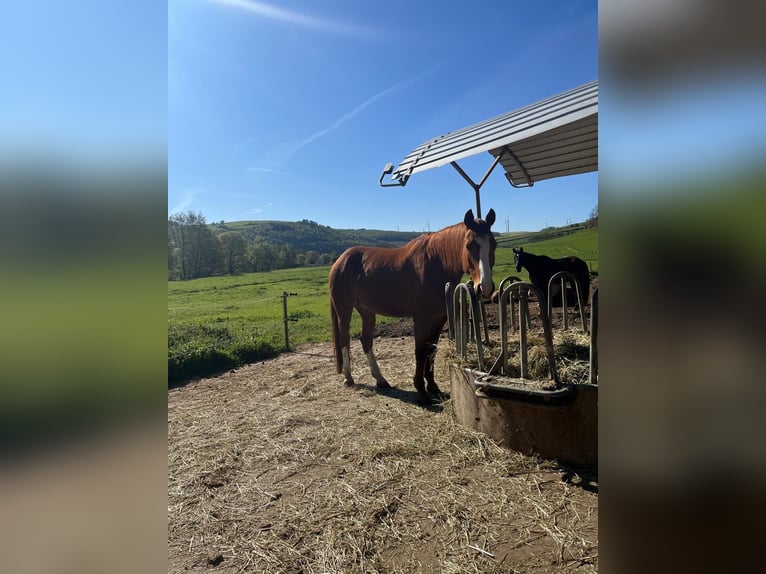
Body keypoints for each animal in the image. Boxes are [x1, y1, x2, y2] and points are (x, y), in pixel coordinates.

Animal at [329, 209, 497, 405]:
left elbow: (432, 350)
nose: (485, 288)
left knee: (366, 340)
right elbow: (420, 351)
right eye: (469, 246)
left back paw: (380, 379)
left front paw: (433, 387)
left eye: (493, 244)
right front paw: (421, 392)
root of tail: (339, 261)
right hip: (344, 310)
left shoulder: (439, 318)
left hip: (367, 311)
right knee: (345, 339)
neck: (435, 264)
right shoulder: (421, 318)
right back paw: (349, 377)